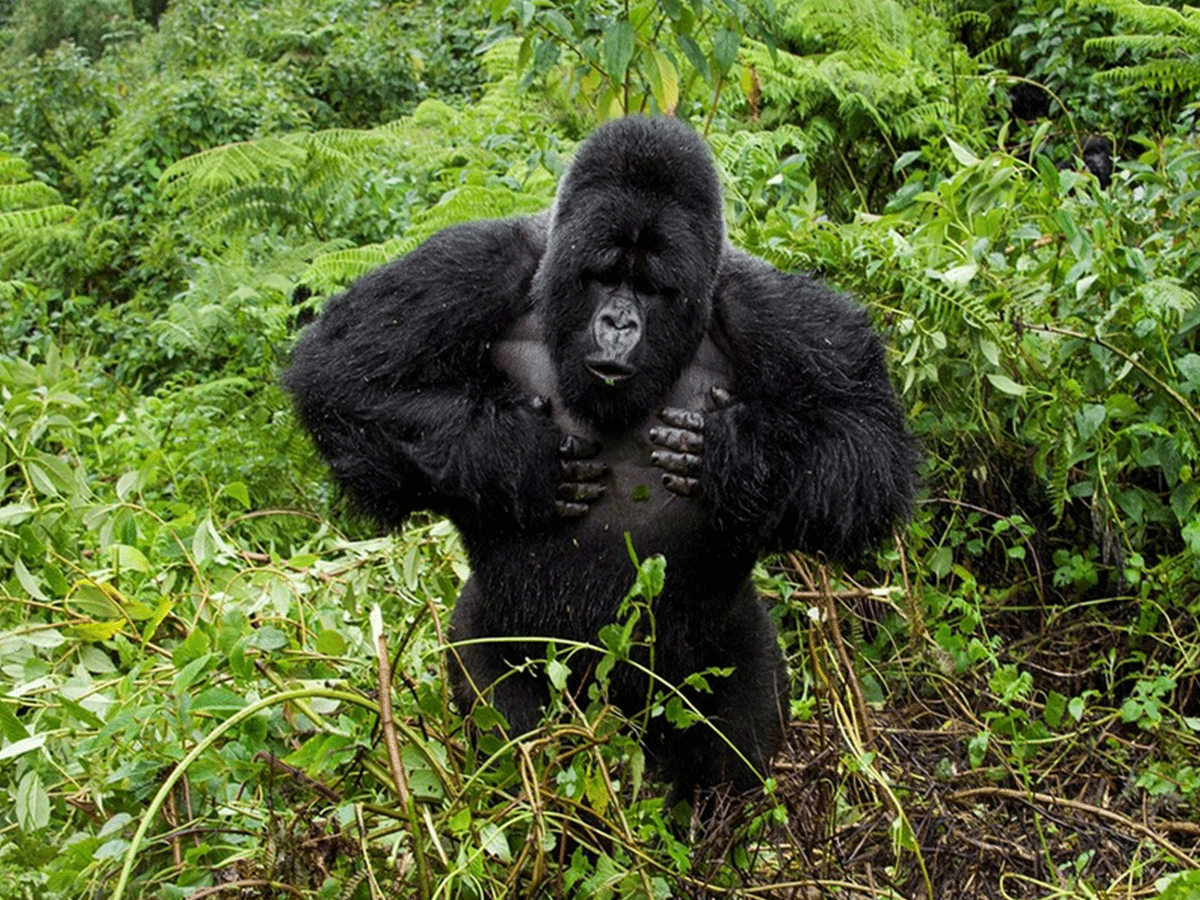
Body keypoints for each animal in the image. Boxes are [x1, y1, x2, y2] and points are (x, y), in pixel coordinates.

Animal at [283, 116, 916, 801]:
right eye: (605, 276)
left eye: (651, 287)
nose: (617, 324)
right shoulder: (479, 261)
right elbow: (343, 373)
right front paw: (515, 455)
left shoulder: (772, 307)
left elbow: (867, 444)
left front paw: (732, 455)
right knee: (514, 740)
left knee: (736, 752)